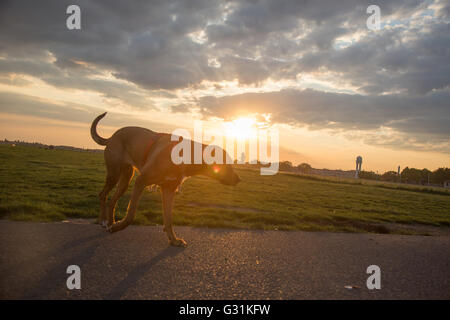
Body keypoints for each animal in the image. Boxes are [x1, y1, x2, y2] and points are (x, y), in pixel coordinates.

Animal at [89, 114, 241, 246]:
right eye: (227, 163)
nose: (239, 179)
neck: (185, 155)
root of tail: (112, 137)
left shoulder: (169, 189)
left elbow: (168, 219)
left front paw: (173, 239)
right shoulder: (141, 181)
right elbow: (131, 214)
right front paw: (119, 227)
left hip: (126, 178)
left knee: (112, 201)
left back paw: (110, 222)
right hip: (114, 174)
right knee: (103, 194)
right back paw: (104, 221)